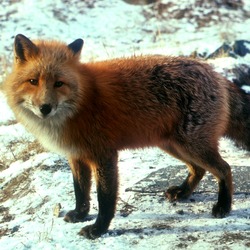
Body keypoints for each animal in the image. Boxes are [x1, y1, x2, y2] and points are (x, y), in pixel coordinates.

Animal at [3, 34, 250, 239]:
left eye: (59, 83)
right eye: (33, 81)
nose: (45, 108)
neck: (79, 105)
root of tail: (216, 74)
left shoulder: (104, 155)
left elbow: (104, 199)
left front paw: (98, 229)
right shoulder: (76, 156)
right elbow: (80, 192)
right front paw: (80, 215)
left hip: (191, 145)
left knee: (224, 168)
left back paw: (224, 207)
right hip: (173, 145)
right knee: (198, 169)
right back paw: (183, 192)